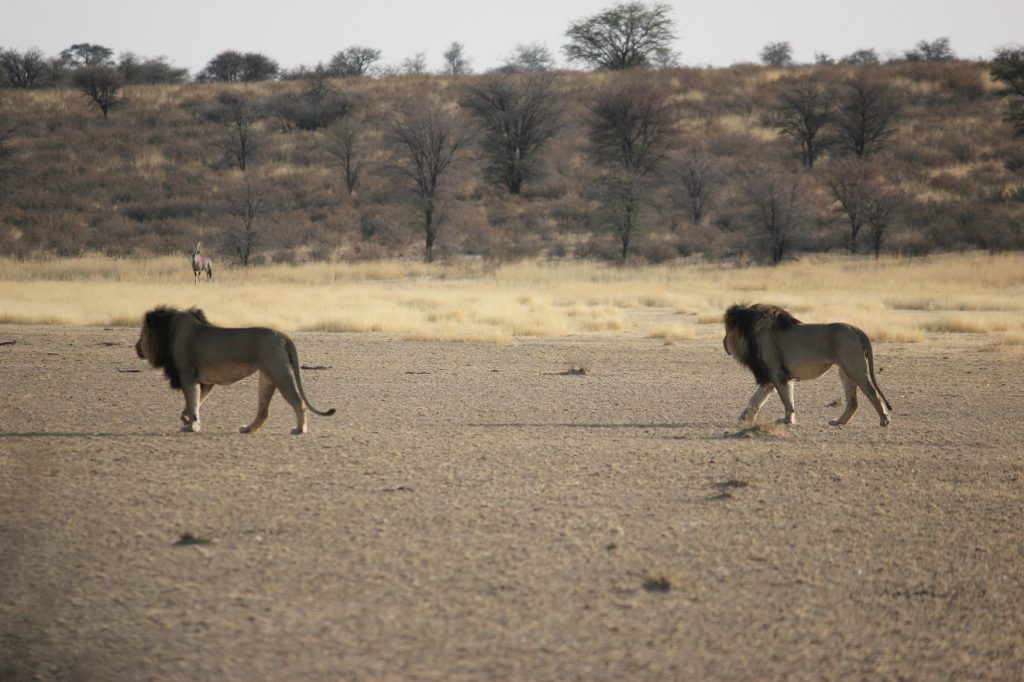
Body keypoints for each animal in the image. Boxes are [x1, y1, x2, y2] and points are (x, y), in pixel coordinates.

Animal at [133, 305, 335, 432]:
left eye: (141, 335)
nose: (135, 348)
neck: (170, 331)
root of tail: (282, 335)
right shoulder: (205, 382)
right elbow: (195, 403)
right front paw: (187, 421)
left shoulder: (187, 375)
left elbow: (192, 402)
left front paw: (191, 426)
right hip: (267, 376)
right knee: (263, 411)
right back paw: (248, 429)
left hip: (279, 372)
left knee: (298, 401)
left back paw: (300, 429)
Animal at [724, 303, 892, 425]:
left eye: (726, 330)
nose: (724, 342)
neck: (749, 331)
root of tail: (855, 329)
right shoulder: (771, 376)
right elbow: (757, 399)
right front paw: (745, 417)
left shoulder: (776, 372)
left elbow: (785, 399)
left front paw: (787, 420)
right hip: (845, 371)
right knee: (853, 402)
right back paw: (839, 422)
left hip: (854, 368)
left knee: (872, 392)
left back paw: (884, 420)